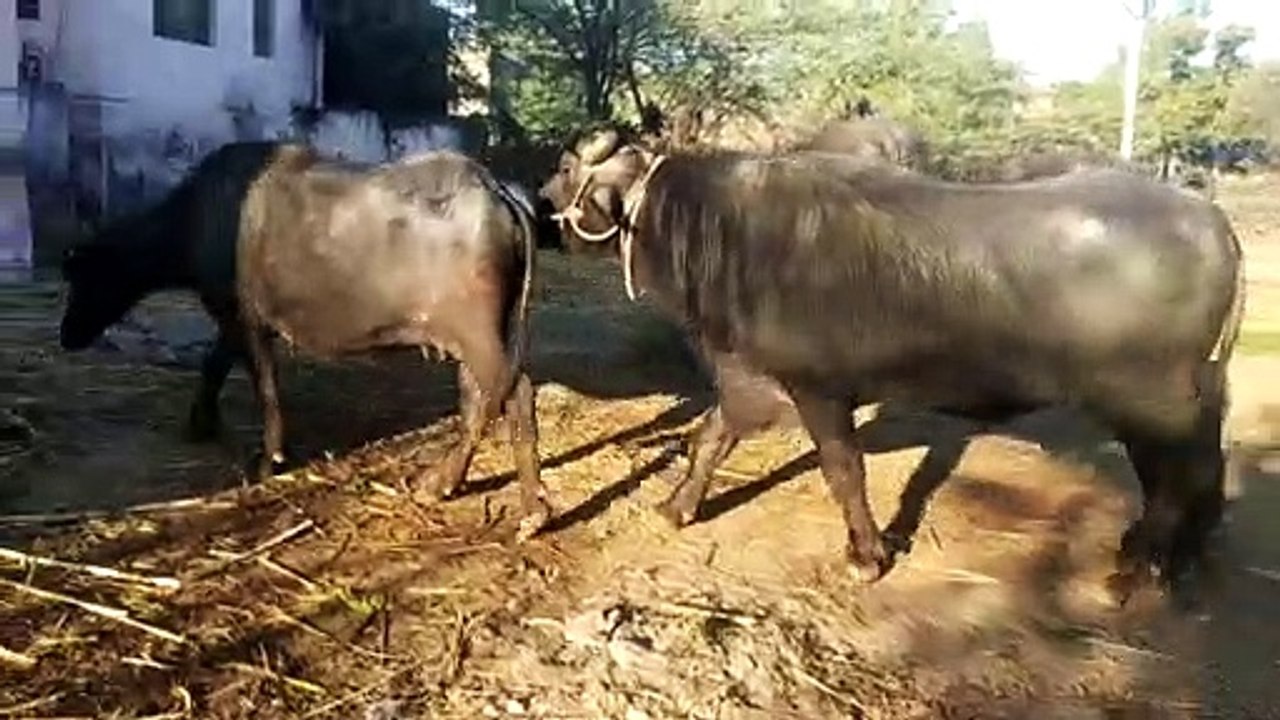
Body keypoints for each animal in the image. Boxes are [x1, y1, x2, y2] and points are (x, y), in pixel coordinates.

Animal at [59, 141, 553, 537]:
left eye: (84, 277)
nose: (66, 336)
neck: (198, 216)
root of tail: (495, 188)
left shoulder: (245, 319)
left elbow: (264, 387)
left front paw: (269, 458)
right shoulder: (233, 321)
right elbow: (213, 365)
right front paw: (200, 423)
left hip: (477, 334)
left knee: (515, 395)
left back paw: (531, 510)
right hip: (472, 337)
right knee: (478, 400)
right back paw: (442, 481)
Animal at [541, 129, 1246, 604]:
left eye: (568, 165)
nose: (541, 205)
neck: (729, 232)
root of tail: (1211, 220)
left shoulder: (819, 389)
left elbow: (843, 471)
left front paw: (866, 553)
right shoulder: (747, 379)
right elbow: (710, 437)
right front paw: (677, 506)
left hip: (1152, 399)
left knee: (1178, 474)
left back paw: (1140, 567)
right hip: (1182, 396)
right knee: (1193, 469)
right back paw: (1173, 551)